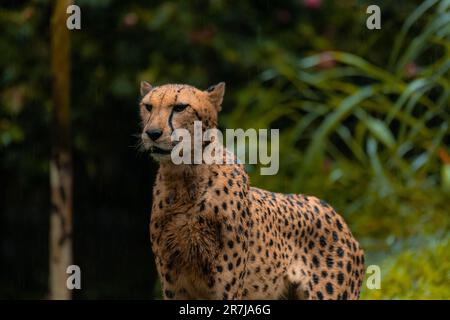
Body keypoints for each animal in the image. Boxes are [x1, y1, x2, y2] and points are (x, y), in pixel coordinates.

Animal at [140, 80, 366, 300]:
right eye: (148, 106)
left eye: (180, 107)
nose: (152, 133)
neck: (184, 181)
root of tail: (337, 216)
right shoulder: (174, 286)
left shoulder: (227, 288)